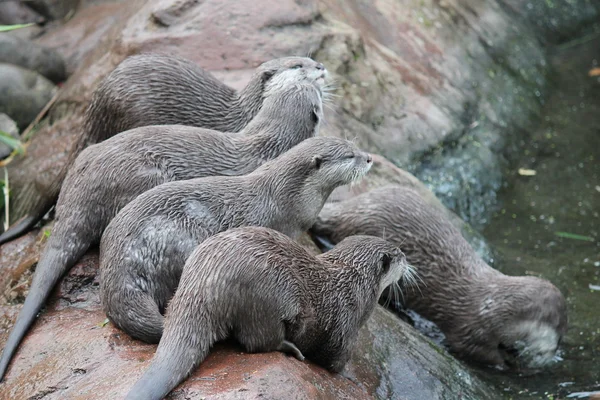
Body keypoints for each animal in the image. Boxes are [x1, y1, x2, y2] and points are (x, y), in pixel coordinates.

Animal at [100, 137, 372, 344]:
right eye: (350, 156)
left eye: (355, 145)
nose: (369, 158)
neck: (288, 198)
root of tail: (117, 261)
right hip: (179, 240)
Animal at [124, 228, 410, 400]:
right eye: (398, 254)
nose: (407, 257)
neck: (353, 283)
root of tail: (204, 284)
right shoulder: (346, 325)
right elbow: (334, 360)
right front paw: (347, 377)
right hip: (267, 298)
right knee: (258, 341)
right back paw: (291, 348)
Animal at [312, 186, 568, 370]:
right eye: (558, 337)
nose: (552, 356)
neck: (495, 306)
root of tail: (359, 208)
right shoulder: (470, 332)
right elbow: (479, 353)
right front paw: (508, 364)